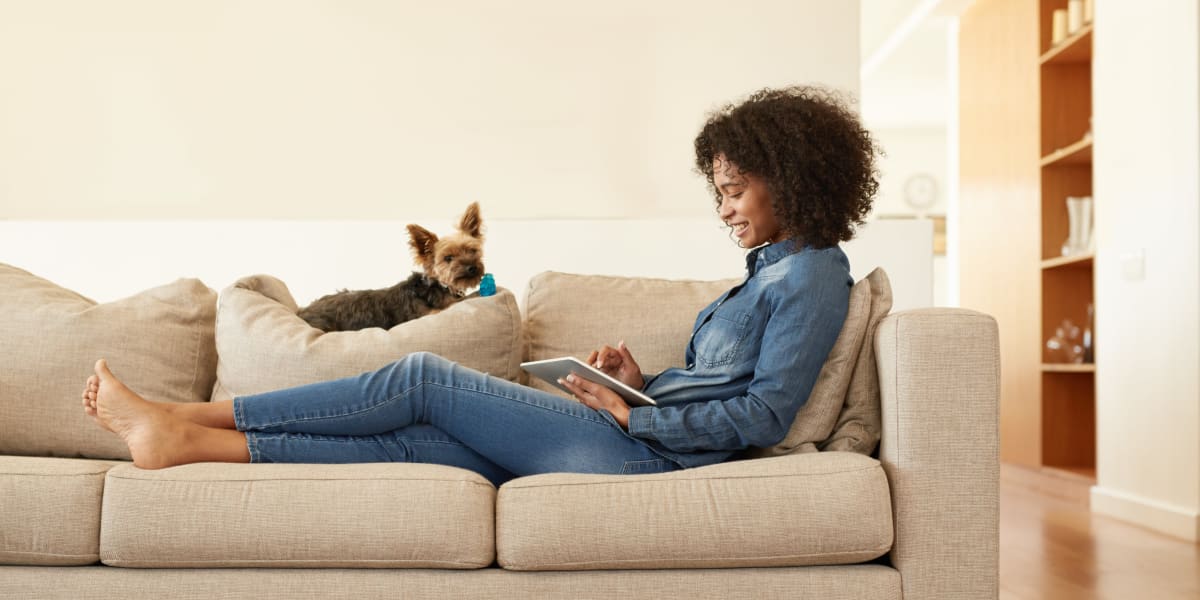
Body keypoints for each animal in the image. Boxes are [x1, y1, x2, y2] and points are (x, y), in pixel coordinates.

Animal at [297, 202, 484, 333]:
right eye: (448, 258)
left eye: (473, 250)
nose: (472, 268)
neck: (439, 285)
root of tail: (302, 311)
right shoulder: (431, 314)